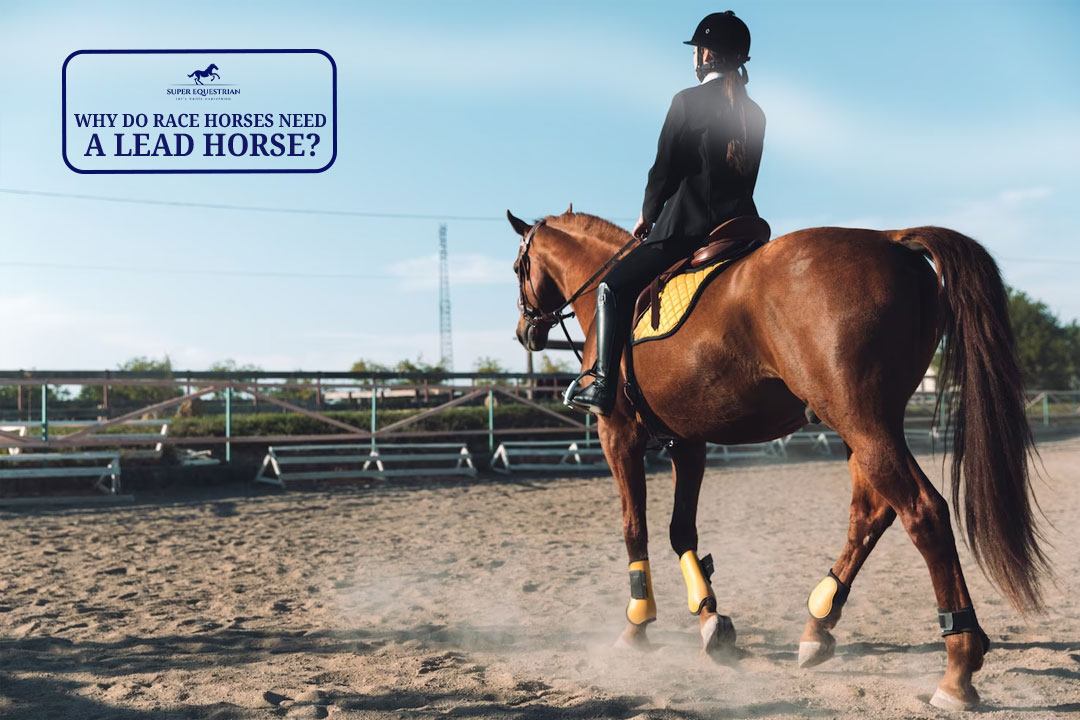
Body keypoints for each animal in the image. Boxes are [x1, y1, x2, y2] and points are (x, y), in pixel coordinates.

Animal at [506, 208, 1046, 711]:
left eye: (517, 267)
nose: (524, 332)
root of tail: (889, 238)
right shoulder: (688, 443)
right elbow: (682, 531)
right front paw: (710, 620)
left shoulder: (617, 434)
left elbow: (633, 528)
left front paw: (637, 626)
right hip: (864, 423)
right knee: (871, 514)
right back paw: (818, 626)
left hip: (859, 419)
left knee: (923, 512)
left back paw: (957, 669)